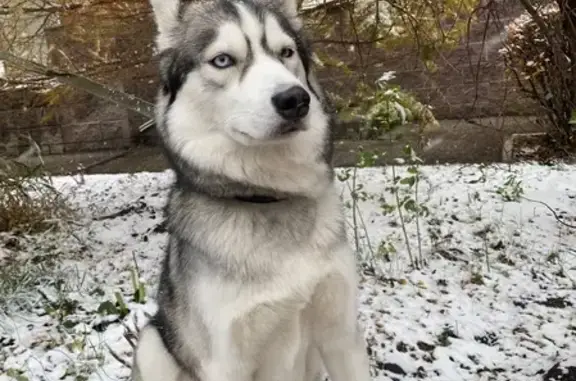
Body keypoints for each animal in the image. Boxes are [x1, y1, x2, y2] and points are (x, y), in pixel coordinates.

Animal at [132, 0, 372, 378]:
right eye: (222, 60)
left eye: (286, 52)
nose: (295, 99)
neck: (267, 195)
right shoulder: (225, 362)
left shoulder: (342, 338)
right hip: (151, 344)